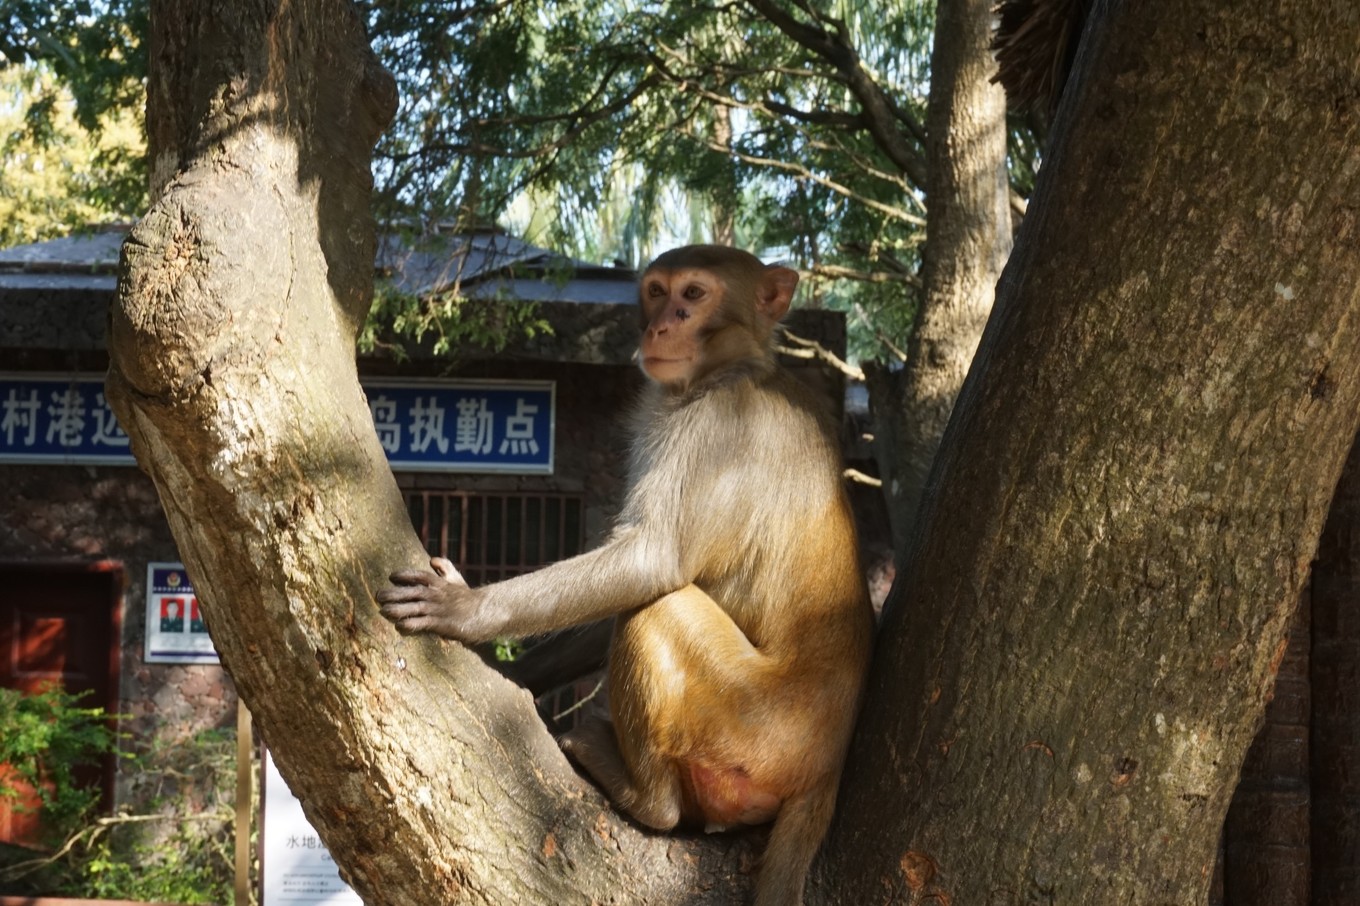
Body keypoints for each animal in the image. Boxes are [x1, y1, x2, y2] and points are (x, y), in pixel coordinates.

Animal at [378, 243, 875, 897]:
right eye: (657, 291)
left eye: (694, 295)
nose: (660, 326)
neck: (729, 369)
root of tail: (825, 770)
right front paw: (515, 670)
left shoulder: (713, 425)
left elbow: (651, 561)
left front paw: (467, 610)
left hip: (752, 729)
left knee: (658, 609)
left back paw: (647, 800)